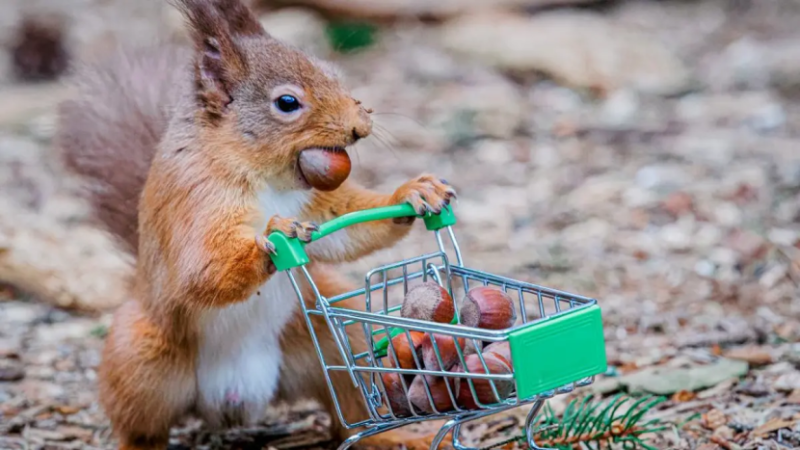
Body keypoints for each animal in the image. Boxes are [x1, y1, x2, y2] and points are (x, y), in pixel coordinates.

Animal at [54, 0, 456, 449]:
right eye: (287, 102)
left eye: (331, 72)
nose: (360, 126)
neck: (266, 178)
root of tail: (233, 399)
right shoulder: (196, 196)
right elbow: (200, 268)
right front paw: (274, 233)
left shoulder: (315, 204)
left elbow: (347, 227)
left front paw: (414, 193)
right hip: (139, 361)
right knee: (140, 429)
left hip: (332, 335)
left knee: (349, 410)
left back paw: (396, 436)